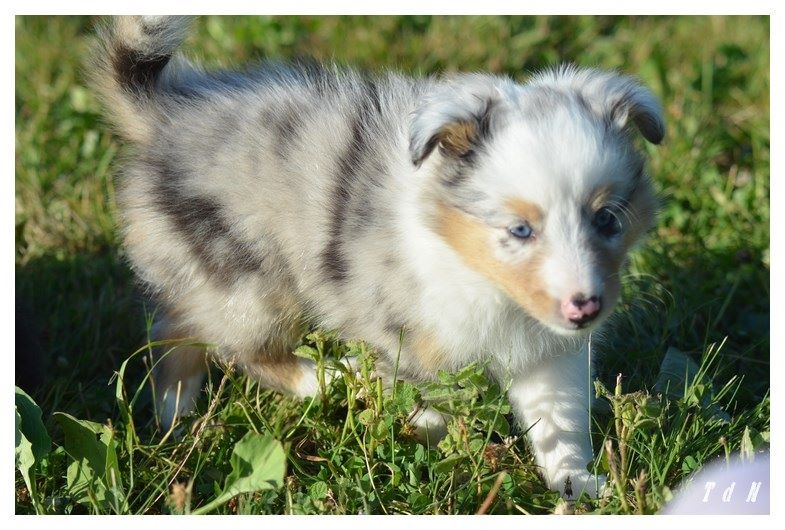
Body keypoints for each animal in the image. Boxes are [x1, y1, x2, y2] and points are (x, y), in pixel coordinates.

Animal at [91, 15, 663, 499]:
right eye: (520, 230)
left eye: (607, 220)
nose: (584, 309)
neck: (480, 275)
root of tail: (167, 116)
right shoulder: (397, 331)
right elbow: (421, 401)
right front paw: (430, 427)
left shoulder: (549, 351)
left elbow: (558, 422)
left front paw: (579, 486)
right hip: (251, 283)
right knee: (245, 351)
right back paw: (333, 378)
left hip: (209, 274)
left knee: (174, 328)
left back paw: (176, 417)